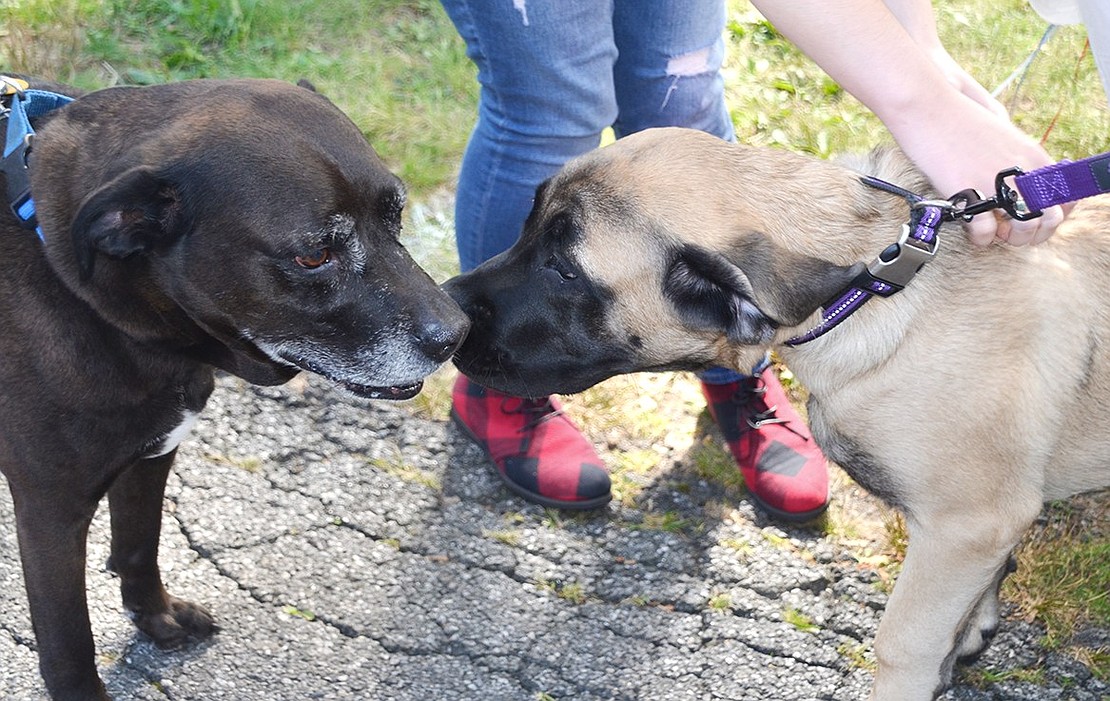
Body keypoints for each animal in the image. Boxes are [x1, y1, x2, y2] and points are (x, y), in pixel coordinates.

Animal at [1, 78, 468, 701]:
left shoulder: (152, 455)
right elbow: (69, 642)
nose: (459, 333)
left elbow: (139, 546)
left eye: (396, 217)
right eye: (314, 255)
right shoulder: (51, 512)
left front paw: (155, 617)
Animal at [446, 127, 1110, 701]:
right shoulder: (981, 530)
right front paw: (973, 632)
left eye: (565, 270)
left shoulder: (966, 526)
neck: (881, 285)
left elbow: (903, 642)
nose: (448, 311)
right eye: (528, 226)